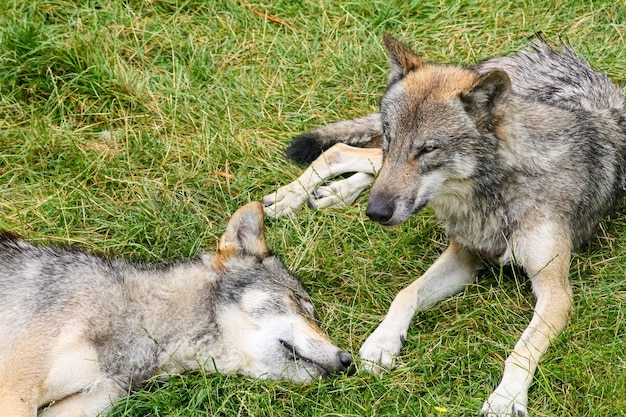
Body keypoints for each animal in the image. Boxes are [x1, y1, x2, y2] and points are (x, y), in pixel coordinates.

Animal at [262, 35, 624, 416]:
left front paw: (506, 397)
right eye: (392, 138)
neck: (497, 192)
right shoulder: (464, 256)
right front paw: (382, 341)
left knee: (353, 161)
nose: (375, 213)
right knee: (341, 152)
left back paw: (332, 194)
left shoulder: (555, 290)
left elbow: (521, 350)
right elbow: (406, 293)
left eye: (428, 149)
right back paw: (289, 198)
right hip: (379, 164)